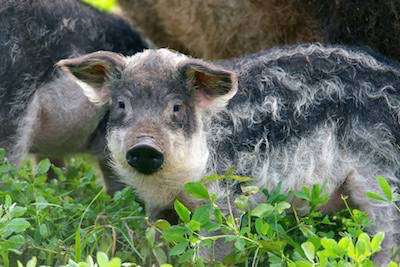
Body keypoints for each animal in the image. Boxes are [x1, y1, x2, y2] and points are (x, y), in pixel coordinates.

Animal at [58, 44, 400, 264]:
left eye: (176, 107)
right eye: (121, 105)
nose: (144, 147)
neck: (176, 183)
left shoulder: (227, 199)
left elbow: (212, 250)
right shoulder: (158, 207)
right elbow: (159, 242)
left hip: (381, 180)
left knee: (388, 236)